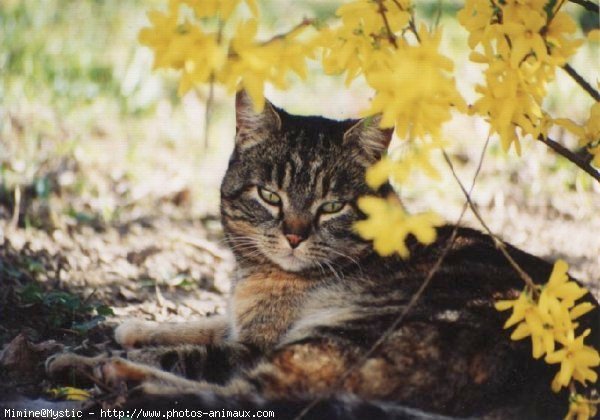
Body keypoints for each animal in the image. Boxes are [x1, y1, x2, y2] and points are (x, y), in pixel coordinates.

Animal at [48, 90, 600, 418]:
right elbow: (204, 321)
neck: (257, 275)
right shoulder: (243, 324)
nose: (294, 234)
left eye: (332, 206)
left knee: (258, 396)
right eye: (269, 195)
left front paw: (93, 353)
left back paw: (119, 376)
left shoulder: (255, 345)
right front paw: (136, 325)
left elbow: (192, 351)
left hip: (347, 338)